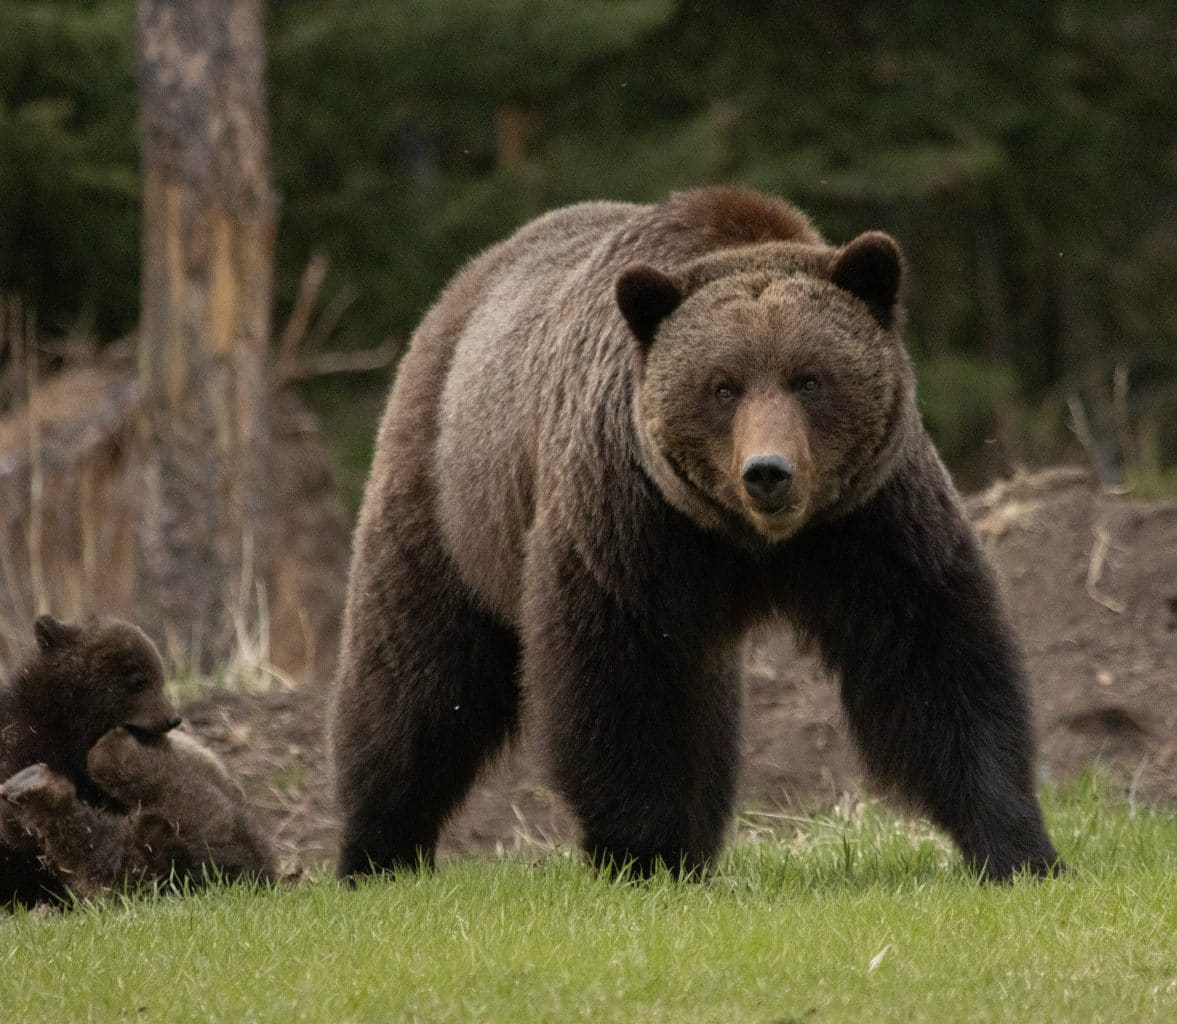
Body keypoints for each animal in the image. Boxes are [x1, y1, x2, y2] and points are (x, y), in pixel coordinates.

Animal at [329, 184, 1059, 880]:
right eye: (722, 386)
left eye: (809, 378)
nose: (768, 473)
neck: (750, 542)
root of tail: (469, 280)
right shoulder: (631, 524)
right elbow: (619, 682)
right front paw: (641, 851)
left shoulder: (869, 522)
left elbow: (934, 658)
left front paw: (1018, 845)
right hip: (451, 498)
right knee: (417, 679)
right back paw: (377, 851)